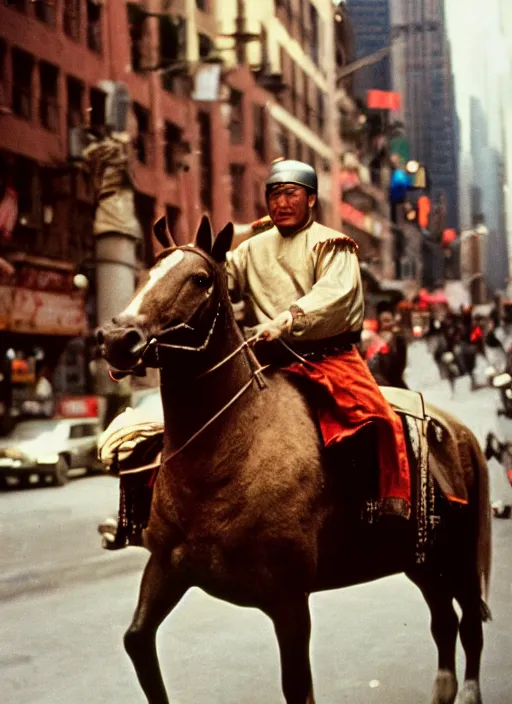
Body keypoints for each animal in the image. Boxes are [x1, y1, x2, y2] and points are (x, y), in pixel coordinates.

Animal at [97, 216, 492, 704]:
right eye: (147, 273)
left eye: (201, 279)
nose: (118, 339)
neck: (227, 455)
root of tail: (460, 432)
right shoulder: (165, 569)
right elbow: (137, 642)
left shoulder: (288, 599)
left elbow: (297, 685)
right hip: (420, 560)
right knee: (444, 621)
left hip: (459, 557)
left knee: (470, 623)